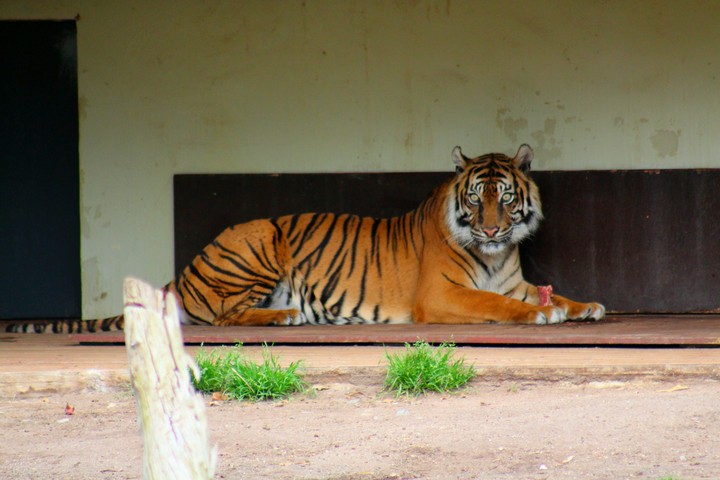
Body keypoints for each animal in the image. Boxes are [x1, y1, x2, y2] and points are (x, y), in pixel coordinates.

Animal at [6, 144, 605, 333]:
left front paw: (585, 305)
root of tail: (183, 272)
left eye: (505, 197)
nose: (492, 229)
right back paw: (288, 317)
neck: (497, 254)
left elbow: (550, 292)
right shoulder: (441, 294)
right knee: (224, 318)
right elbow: (497, 305)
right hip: (259, 239)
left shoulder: (514, 280)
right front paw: (543, 315)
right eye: (477, 198)